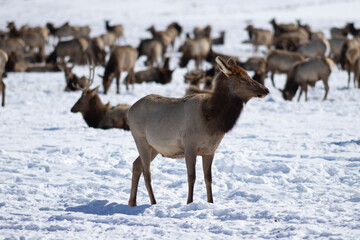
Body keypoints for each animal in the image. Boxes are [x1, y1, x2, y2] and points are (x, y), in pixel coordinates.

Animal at [128, 56, 268, 206]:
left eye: (248, 74)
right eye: (242, 78)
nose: (266, 89)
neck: (212, 120)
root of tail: (129, 110)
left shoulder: (210, 150)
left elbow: (208, 178)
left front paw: (211, 202)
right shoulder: (190, 146)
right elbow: (191, 177)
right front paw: (189, 202)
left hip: (154, 146)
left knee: (136, 165)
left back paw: (132, 202)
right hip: (140, 138)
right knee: (146, 172)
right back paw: (153, 202)